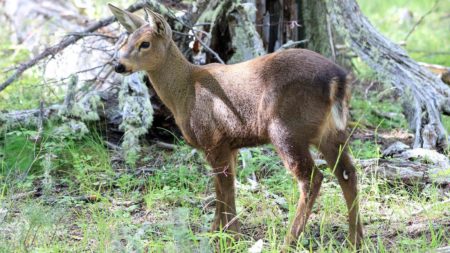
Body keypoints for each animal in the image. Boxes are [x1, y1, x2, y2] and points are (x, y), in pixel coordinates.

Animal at [110, 3, 364, 249]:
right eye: (127, 40)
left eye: (145, 43)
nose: (118, 66)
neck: (184, 93)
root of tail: (338, 79)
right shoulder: (226, 145)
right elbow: (219, 190)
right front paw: (215, 234)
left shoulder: (213, 138)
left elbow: (226, 189)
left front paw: (232, 238)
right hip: (330, 131)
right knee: (348, 173)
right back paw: (355, 240)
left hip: (286, 129)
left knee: (312, 179)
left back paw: (288, 241)